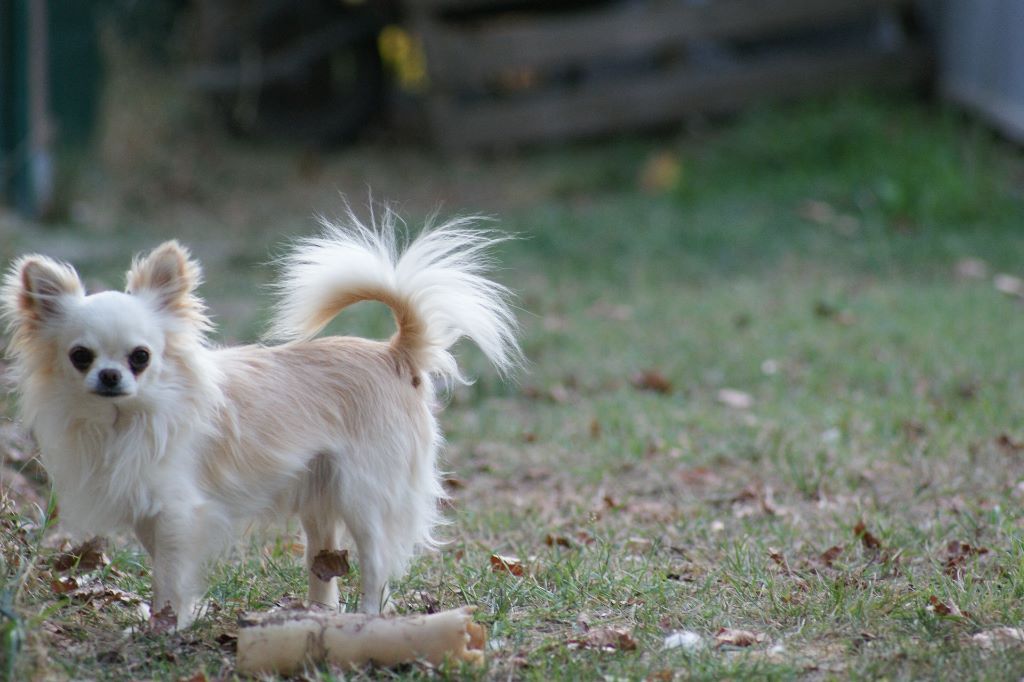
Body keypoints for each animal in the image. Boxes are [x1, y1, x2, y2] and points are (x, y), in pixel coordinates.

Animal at [2, 212, 520, 626]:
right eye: (81, 357)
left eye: (140, 357)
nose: (109, 375)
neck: (123, 420)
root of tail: (394, 353)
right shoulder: (154, 516)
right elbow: (168, 571)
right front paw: (173, 620)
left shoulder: (178, 512)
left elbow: (170, 578)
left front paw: (166, 628)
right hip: (320, 497)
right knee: (324, 563)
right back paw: (317, 615)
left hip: (365, 496)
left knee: (376, 565)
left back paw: (367, 619)